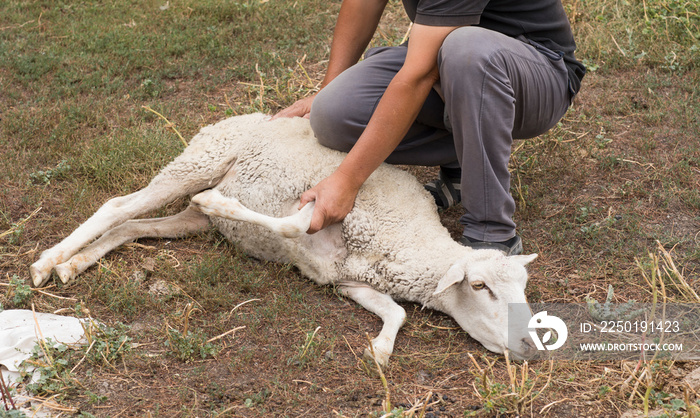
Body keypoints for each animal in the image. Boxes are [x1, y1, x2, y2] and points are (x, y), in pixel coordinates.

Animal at [30, 113, 540, 366]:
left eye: (524, 289)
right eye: (480, 287)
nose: (533, 345)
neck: (406, 237)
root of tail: (240, 115)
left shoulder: (346, 279)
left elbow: (395, 312)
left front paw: (379, 350)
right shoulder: (319, 210)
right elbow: (291, 227)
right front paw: (221, 202)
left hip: (190, 217)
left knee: (132, 226)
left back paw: (74, 264)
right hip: (197, 162)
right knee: (119, 206)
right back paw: (48, 262)